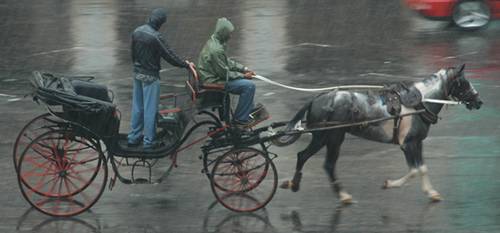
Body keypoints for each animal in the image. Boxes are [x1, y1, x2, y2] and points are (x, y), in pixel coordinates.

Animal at [280, 64, 482, 204]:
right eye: (463, 83)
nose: (479, 101)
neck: (419, 103)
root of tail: (317, 99)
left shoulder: (418, 142)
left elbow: (422, 168)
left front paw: (431, 193)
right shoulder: (407, 144)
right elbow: (414, 170)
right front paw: (390, 184)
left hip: (326, 138)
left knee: (303, 156)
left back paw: (294, 184)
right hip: (331, 138)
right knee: (325, 164)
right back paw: (342, 195)